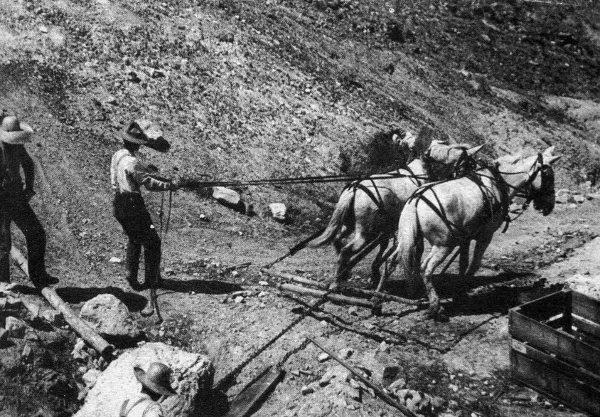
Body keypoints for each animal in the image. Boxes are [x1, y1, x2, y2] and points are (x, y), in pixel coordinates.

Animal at [309, 135, 485, 290]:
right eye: (468, 160)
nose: (474, 174)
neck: (418, 171)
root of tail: (354, 189)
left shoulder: (389, 226)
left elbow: (384, 246)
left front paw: (375, 273)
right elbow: (410, 249)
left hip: (350, 224)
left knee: (338, 240)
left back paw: (344, 273)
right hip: (365, 233)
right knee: (346, 250)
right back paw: (336, 282)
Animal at [380, 146, 560, 321]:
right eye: (549, 176)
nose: (550, 206)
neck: (498, 182)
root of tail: (417, 199)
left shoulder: (465, 238)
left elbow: (463, 263)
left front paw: (461, 291)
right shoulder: (485, 236)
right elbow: (474, 265)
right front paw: (463, 289)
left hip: (410, 239)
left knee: (394, 261)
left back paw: (382, 298)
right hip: (444, 245)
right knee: (426, 268)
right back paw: (435, 308)